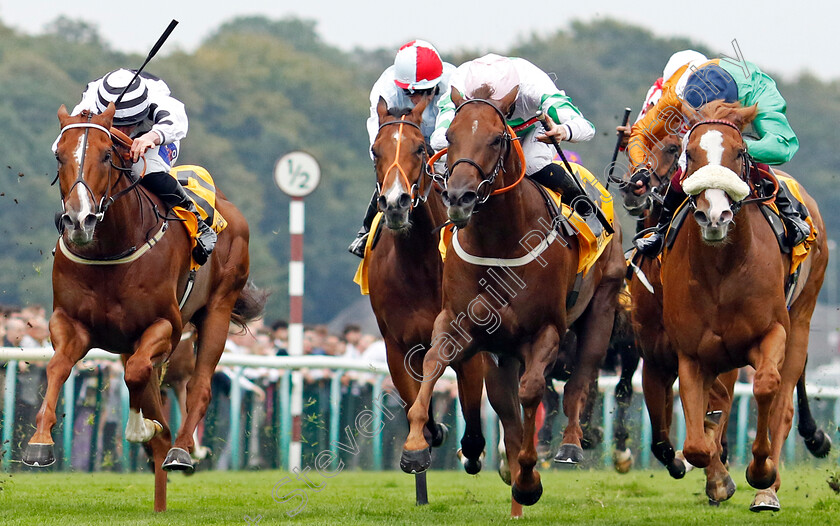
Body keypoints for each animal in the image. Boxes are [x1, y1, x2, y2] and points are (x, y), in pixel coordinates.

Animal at [23, 105, 262, 512]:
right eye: (59, 155)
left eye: (107, 155)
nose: (79, 220)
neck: (109, 251)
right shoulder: (71, 324)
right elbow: (56, 368)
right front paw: (40, 443)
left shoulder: (165, 325)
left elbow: (136, 374)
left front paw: (140, 428)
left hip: (217, 309)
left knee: (198, 386)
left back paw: (181, 452)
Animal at [366, 97, 486, 492]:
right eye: (376, 150)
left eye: (420, 148)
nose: (395, 202)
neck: (419, 266)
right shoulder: (397, 346)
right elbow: (413, 405)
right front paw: (422, 443)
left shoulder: (467, 342)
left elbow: (474, 425)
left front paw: (471, 451)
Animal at [400, 87, 624, 520]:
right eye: (448, 135)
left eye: (496, 139)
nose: (460, 197)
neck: (499, 241)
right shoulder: (457, 322)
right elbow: (433, 364)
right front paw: (416, 447)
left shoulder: (546, 331)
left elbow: (533, 391)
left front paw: (528, 477)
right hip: (500, 351)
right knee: (505, 401)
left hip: (602, 305)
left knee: (581, 376)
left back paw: (569, 446)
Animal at [668, 101, 832, 512]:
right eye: (690, 154)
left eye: (739, 152)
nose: (715, 216)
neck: (722, 270)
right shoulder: (692, 352)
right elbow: (696, 442)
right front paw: (717, 477)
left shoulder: (773, 332)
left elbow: (766, 388)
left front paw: (760, 472)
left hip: (801, 321)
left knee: (782, 403)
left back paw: (768, 491)